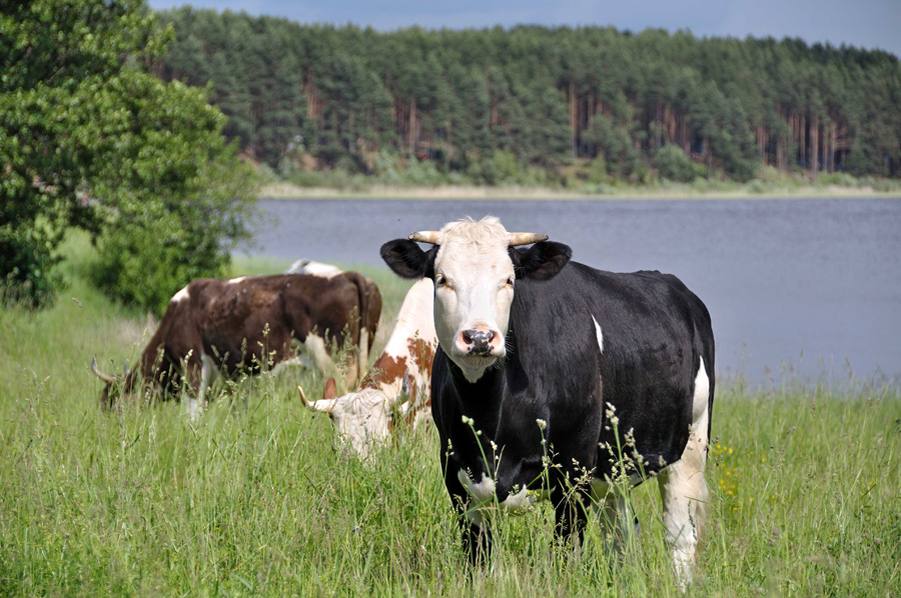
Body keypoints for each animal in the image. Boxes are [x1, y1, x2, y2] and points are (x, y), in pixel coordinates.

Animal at [91, 272, 384, 418]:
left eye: (111, 406)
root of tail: (345, 275)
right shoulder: (233, 382)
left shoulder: (193, 372)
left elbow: (191, 419)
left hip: (332, 360)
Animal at [382, 218, 716, 588]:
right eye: (442, 279)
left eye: (509, 279)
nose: (480, 338)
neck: (489, 415)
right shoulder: (456, 473)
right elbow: (478, 559)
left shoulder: (573, 474)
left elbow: (565, 556)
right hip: (613, 466)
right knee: (621, 534)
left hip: (690, 446)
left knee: (679, 536)